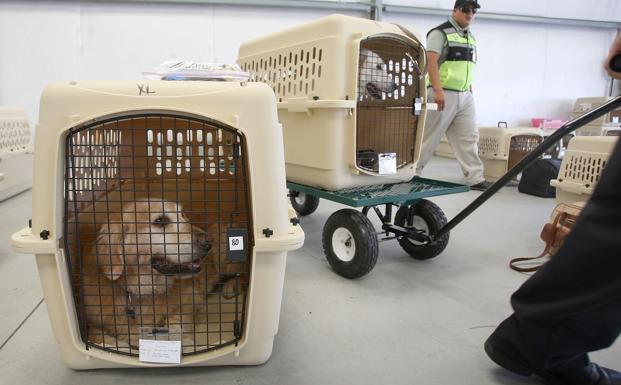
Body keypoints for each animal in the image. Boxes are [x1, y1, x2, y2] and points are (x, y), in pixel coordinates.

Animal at [80, 198, 213, 348]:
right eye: (160, 221)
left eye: (183, 215)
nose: (208, 242)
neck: (143, 289)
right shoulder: (94, 324)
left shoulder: (191, 301)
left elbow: (174, 323)